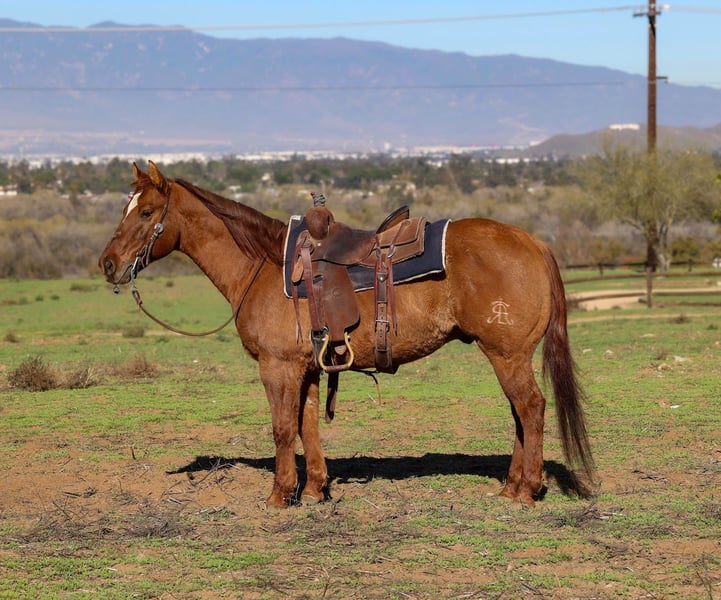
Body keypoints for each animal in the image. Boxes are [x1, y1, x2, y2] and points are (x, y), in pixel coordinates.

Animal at [99, 160, 594, 508]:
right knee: (520, 414)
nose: (108, 263)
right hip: (506, 355)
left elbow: (282, 428)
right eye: (124, 208)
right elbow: (308, 425)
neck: (265, 267)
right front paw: (314, 490)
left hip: (507, 354)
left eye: (146, 212)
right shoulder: (308, 368)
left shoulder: (277, 367)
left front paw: (279, 495)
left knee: (531, 409)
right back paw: (511, 486)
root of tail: (533, 242)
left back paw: (527, 490)